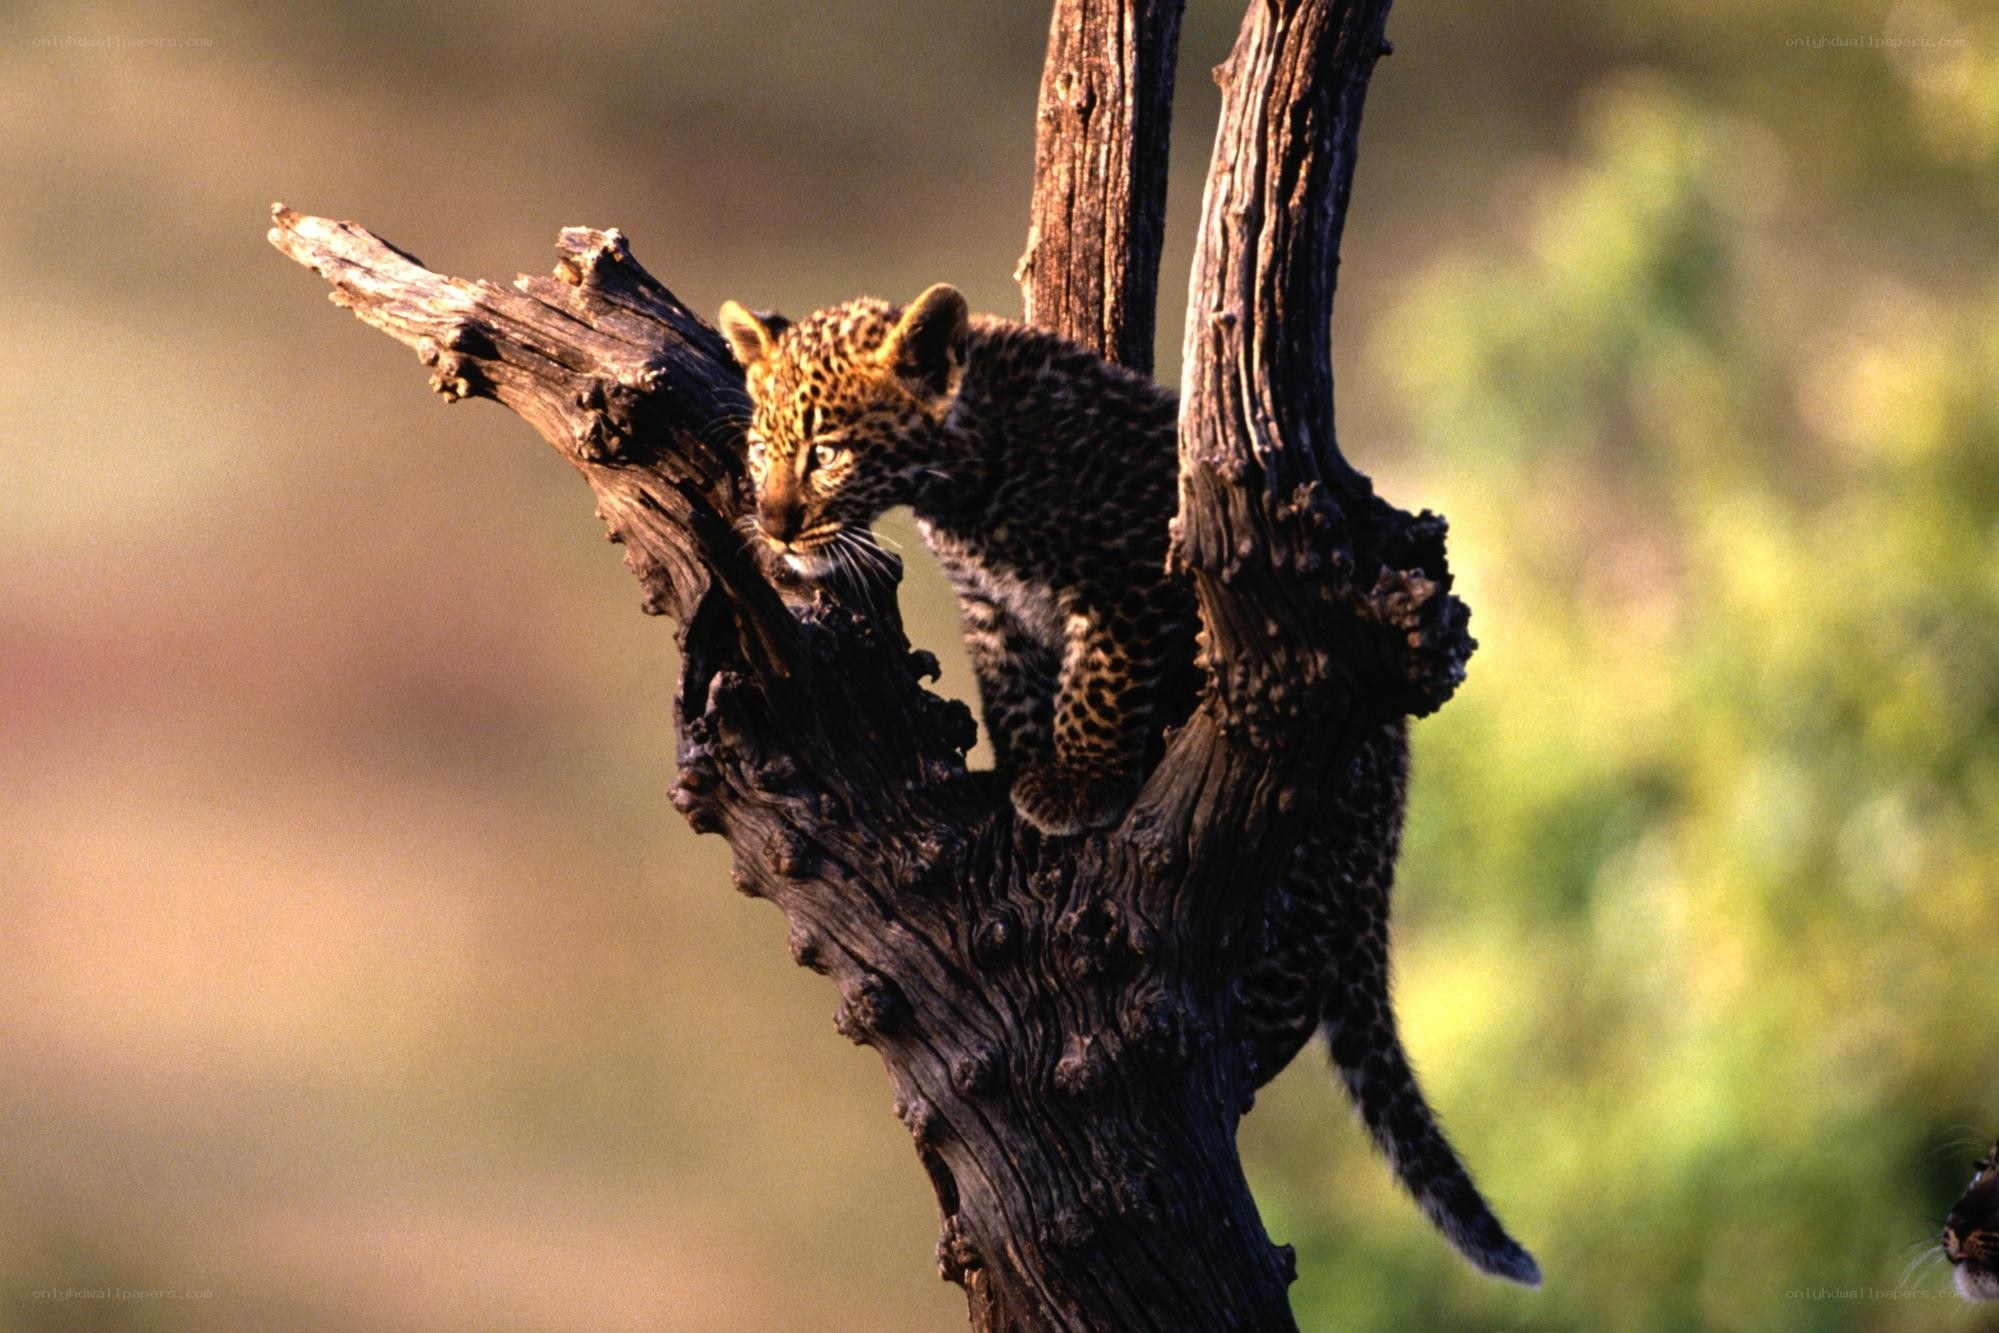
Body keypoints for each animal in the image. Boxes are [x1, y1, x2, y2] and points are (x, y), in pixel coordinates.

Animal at [718, 283, 1540, 1285]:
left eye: (827, 450)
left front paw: (1076, 785)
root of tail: (1393, 798)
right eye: (759, 447)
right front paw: (1019, 777)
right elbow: (1016, 695)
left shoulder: (1128, 578)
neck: (964, 477)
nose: (775, 523)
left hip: (1310, 869)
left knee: (1284, 1000)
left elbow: (1095, 687)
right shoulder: (991, 611)